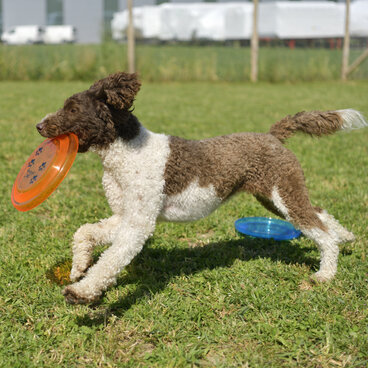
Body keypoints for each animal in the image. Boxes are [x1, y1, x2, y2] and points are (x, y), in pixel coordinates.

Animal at [36, 70, 366, 304]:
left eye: (72, 109)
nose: (38, 125)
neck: (125, 151)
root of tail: (273, 135)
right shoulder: (126, 216)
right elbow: (85, 232)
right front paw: (79, 267)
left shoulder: (139, 224)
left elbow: (110, 261)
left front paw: (81, 291)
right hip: (274, 197)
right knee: (320, 213)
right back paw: (346, 236)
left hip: (283, 193)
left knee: (319, 231)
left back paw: (325, 273)